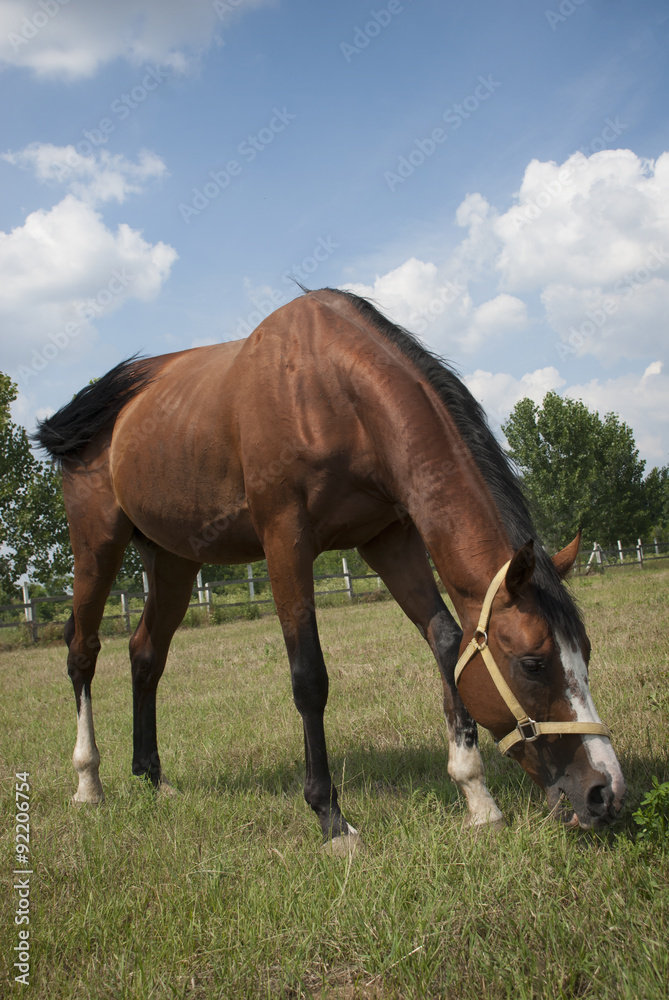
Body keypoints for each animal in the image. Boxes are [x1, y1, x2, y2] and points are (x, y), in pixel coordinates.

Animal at [34, 288, 624, 844]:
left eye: (586, 653)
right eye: (532, 663)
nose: (605, 793)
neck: (331, 391)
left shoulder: (389, 540)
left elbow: (446, 643)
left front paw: (477, 798)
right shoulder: (285, 540)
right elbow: (309, 677)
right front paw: (331, 818)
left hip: (173, 560)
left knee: (146, 654)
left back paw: (155, 779)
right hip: (96, 546)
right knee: (82, 651)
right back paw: (89, 783)